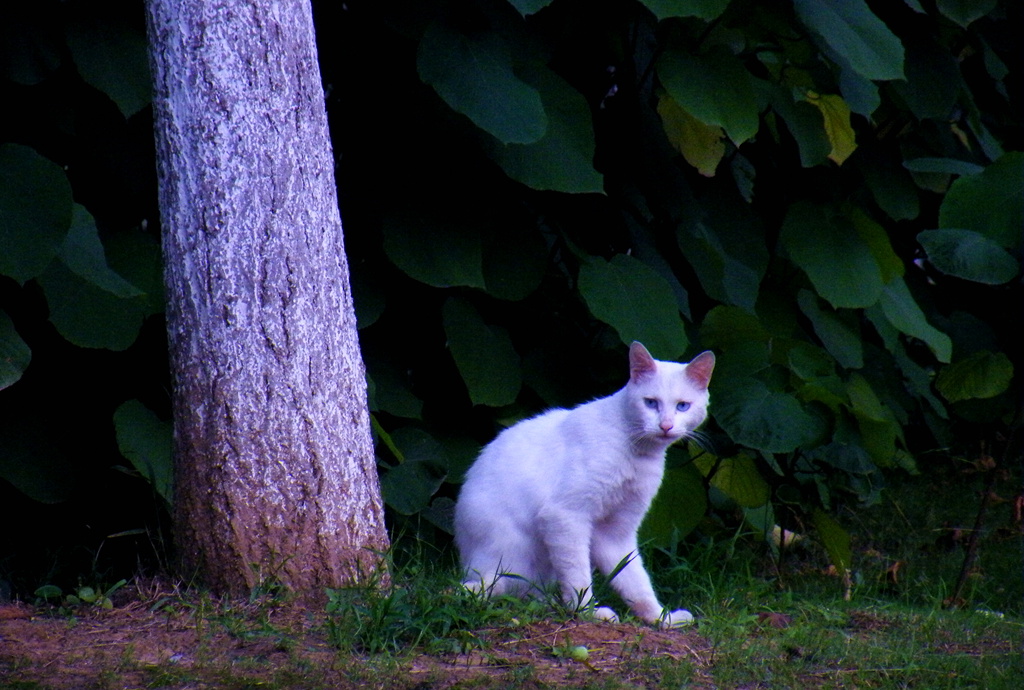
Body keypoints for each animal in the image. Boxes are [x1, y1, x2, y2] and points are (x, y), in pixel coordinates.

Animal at [456, 341, 712, 626]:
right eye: (651, 403)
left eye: (683, 406)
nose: (665, 426)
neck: (638, 453)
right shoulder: (565, 515)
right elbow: (578, 576)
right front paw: (588, 611)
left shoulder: (616, 532)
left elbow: (635, 580)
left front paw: (660, 618)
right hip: (514, 554)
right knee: (506, 588)